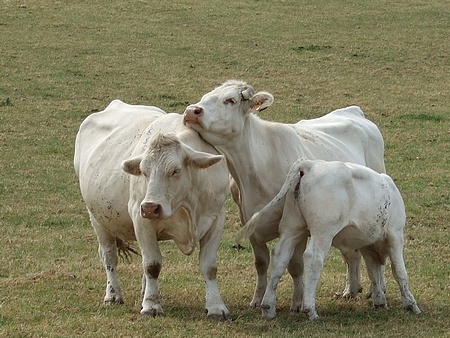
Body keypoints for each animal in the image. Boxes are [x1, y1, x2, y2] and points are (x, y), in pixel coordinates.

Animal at [74, 99, 230, 320]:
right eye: (143, 171)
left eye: (175, 170)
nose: (150, 207)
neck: (185, 204)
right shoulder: (142, 221)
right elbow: (152, 265)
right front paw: (151, 306)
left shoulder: (216, 219)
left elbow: (209, 267)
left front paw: (216, 307)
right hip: (98, 219)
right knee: (109, 256)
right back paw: (113, 295)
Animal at [183, 80, 386, 312]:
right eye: (205, 97)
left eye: (230, 100)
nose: (192, 111)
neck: (257, 165)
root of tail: (353, 111)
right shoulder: (250, 222)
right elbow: (261, 263)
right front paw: (257, 299)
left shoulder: (297, 227)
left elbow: (295, 265)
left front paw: (297, 302)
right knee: (352, 252)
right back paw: (351, 289)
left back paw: (376, 288)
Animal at [239, 160, 422, 320]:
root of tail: (310, 165)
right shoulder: (395, 235)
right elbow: (399, 271)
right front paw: (411, 304)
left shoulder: (367, 244)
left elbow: (373, 272)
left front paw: (379, 300)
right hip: (322, 232)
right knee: (313, 258)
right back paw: (310, 310)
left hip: (292, 228)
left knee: (280, 257)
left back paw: (268, 307)